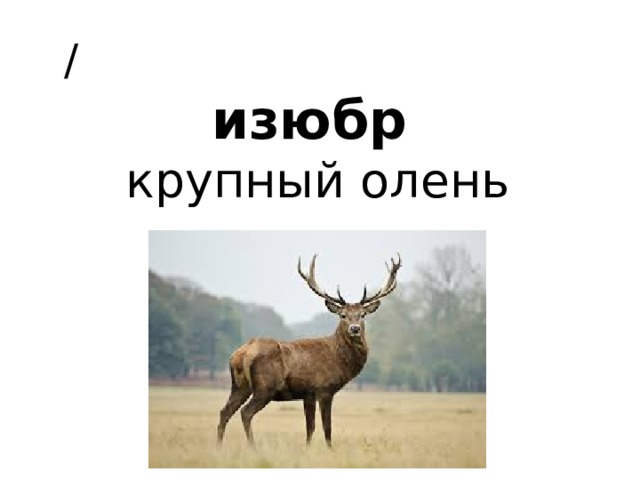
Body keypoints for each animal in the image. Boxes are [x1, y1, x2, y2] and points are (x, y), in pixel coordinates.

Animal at [216, 253, 401, 447]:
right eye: (343, 315)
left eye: (362, 314)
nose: (355, 328)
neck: (338, 359)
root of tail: (241, 354)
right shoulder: (324, 389)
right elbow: (327, 427)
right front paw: (329, 449)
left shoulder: (308, 394)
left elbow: (310, 428)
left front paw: (308, 448)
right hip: (265, 386)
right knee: (245, 412)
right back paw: (253, 447)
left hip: (239, 385)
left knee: (225, 411)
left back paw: (219, 447)